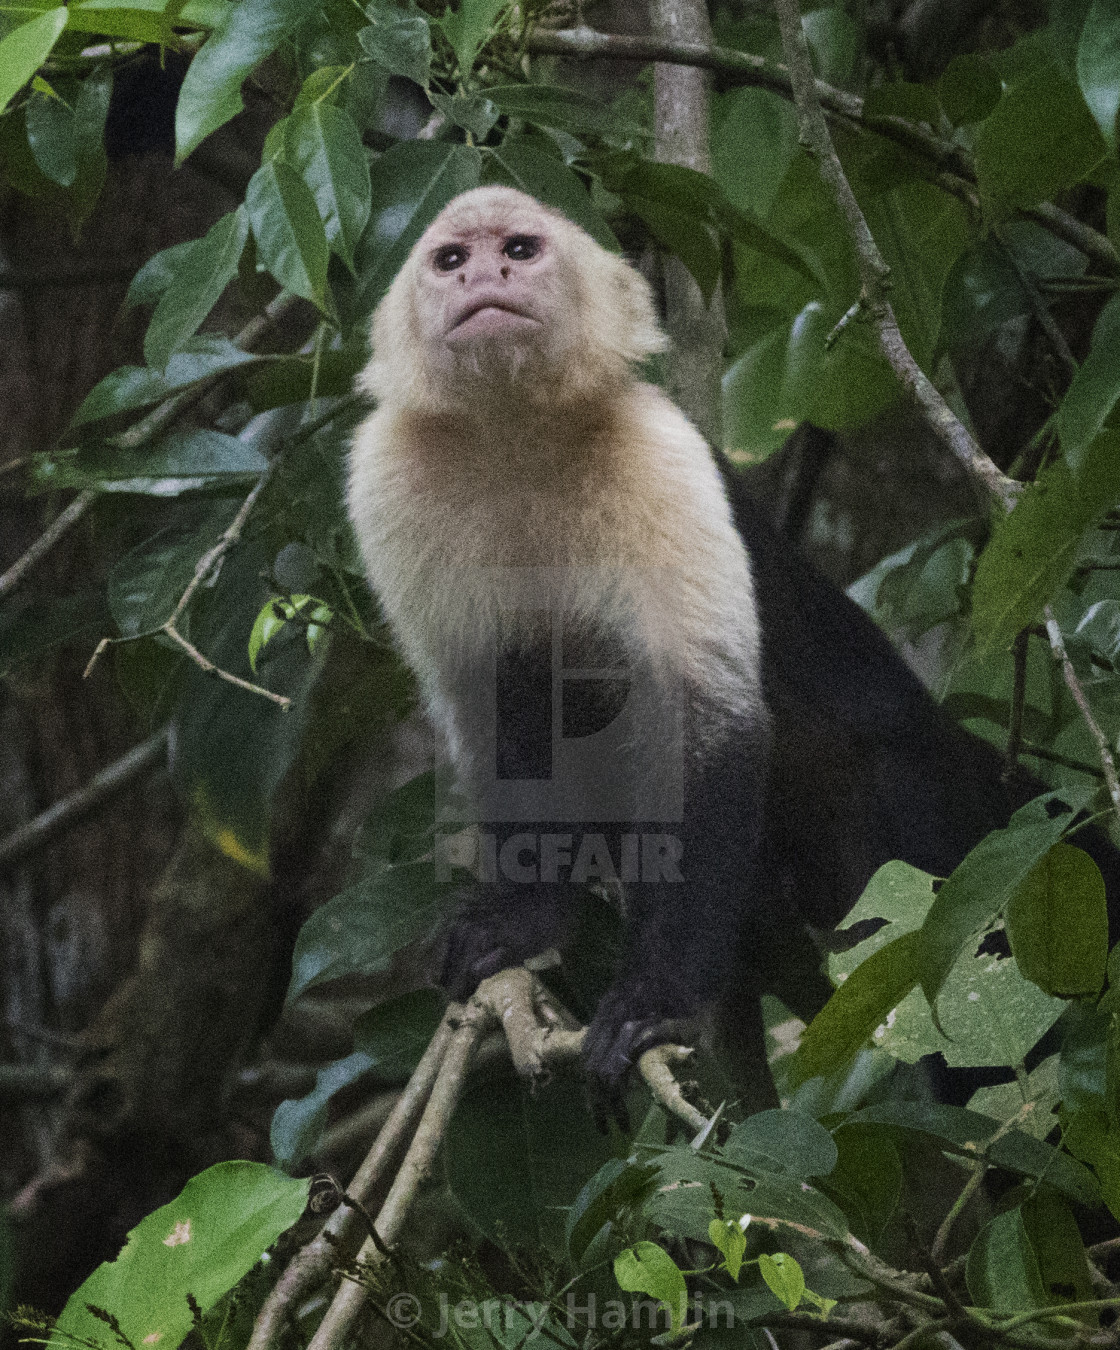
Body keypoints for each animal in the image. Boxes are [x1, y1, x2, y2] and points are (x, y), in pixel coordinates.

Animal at [345, 184, 1117, 1101]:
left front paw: (655, 998)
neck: (516, 438)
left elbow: (704, 724)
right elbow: (500, 709)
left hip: (932, 825)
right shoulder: (387, 483)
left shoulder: (659, 456)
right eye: (452, 259)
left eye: (521, 249)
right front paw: (520, 920)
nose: (486, 276)